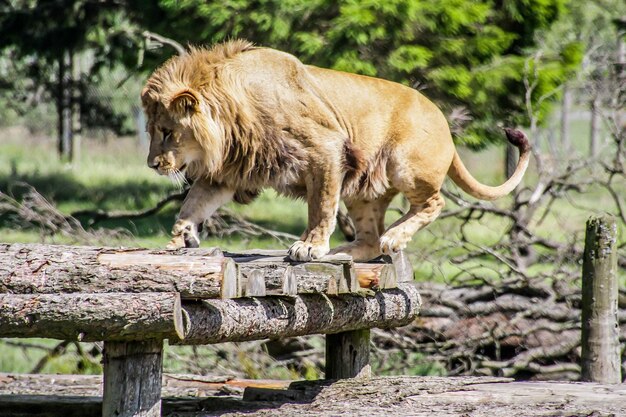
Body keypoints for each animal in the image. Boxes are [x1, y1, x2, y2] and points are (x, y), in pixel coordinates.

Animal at [140, 39, 528, 260]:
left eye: (167, 131)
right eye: (151, 130)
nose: (152, 165)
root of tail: (445, 123)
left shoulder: (325, 149)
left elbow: (321, 206)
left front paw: (310, 246)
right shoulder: (228, 172)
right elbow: (193, 204)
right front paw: (181, 237)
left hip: (403, 165)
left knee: (434, 203)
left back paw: (394, 237)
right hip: (363, 192)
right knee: (369, 239)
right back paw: (348, 250)